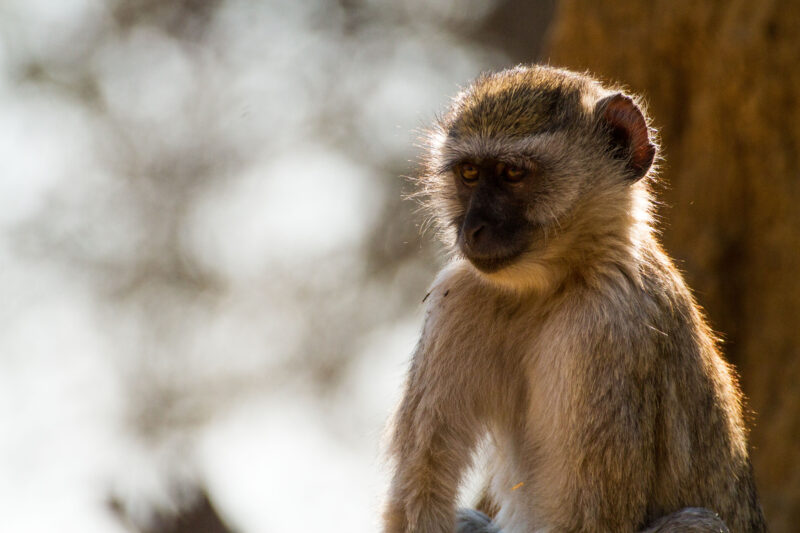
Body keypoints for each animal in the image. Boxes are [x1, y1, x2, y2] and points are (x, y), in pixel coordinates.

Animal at [382, 65, 766, 533]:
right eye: (470, 173)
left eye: (512, 173)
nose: (472, 229)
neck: (550, 287)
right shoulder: (458, 296)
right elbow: (421, 490)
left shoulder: (607, 329)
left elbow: (589, 519)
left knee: (696, 523)